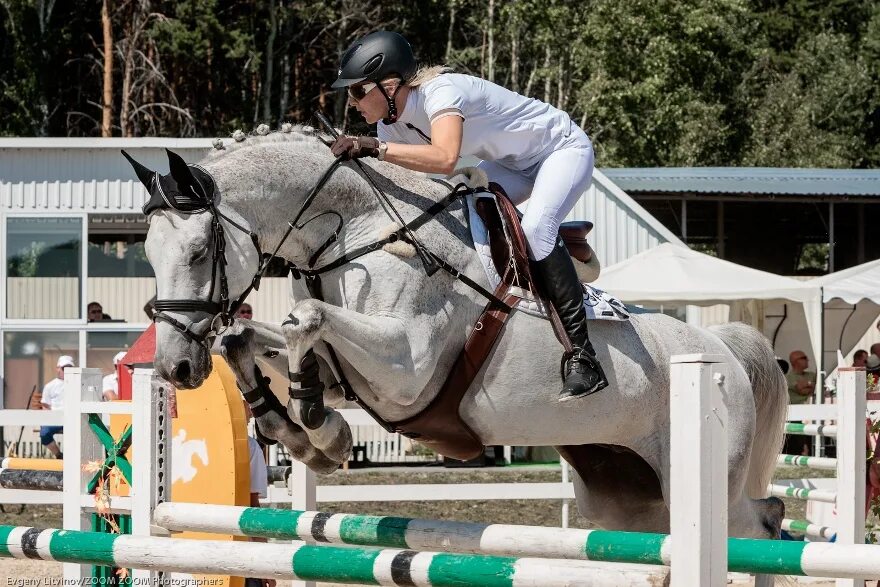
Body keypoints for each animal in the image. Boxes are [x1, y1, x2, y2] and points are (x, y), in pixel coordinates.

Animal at [127, 131, 788, 540]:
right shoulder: (356, 372)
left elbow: (307, 321)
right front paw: (307, 433)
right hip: (625, 499)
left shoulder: (406, 369)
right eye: (146, 253)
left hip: (700, 484)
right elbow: (250, 337)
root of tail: (725, 351)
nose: (175, 369)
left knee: (760, 521)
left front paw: (318, 427)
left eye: (197, 250)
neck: (362, 229)